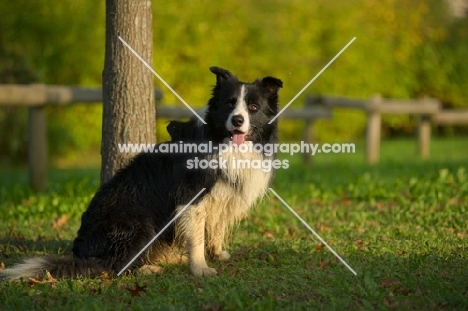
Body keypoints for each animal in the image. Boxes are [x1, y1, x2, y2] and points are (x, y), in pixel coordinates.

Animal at [1, 66, 284, 280]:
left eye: (253, 107)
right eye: (229, 104)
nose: (237, 120)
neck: (223, 142)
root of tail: (81, 252)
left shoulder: (223, 195)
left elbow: (215, 228)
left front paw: (217, 253)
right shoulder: (190, 196)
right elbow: (196, 237)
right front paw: (200, 268)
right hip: (138, 222)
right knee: (113, 266)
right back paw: (147, 267)